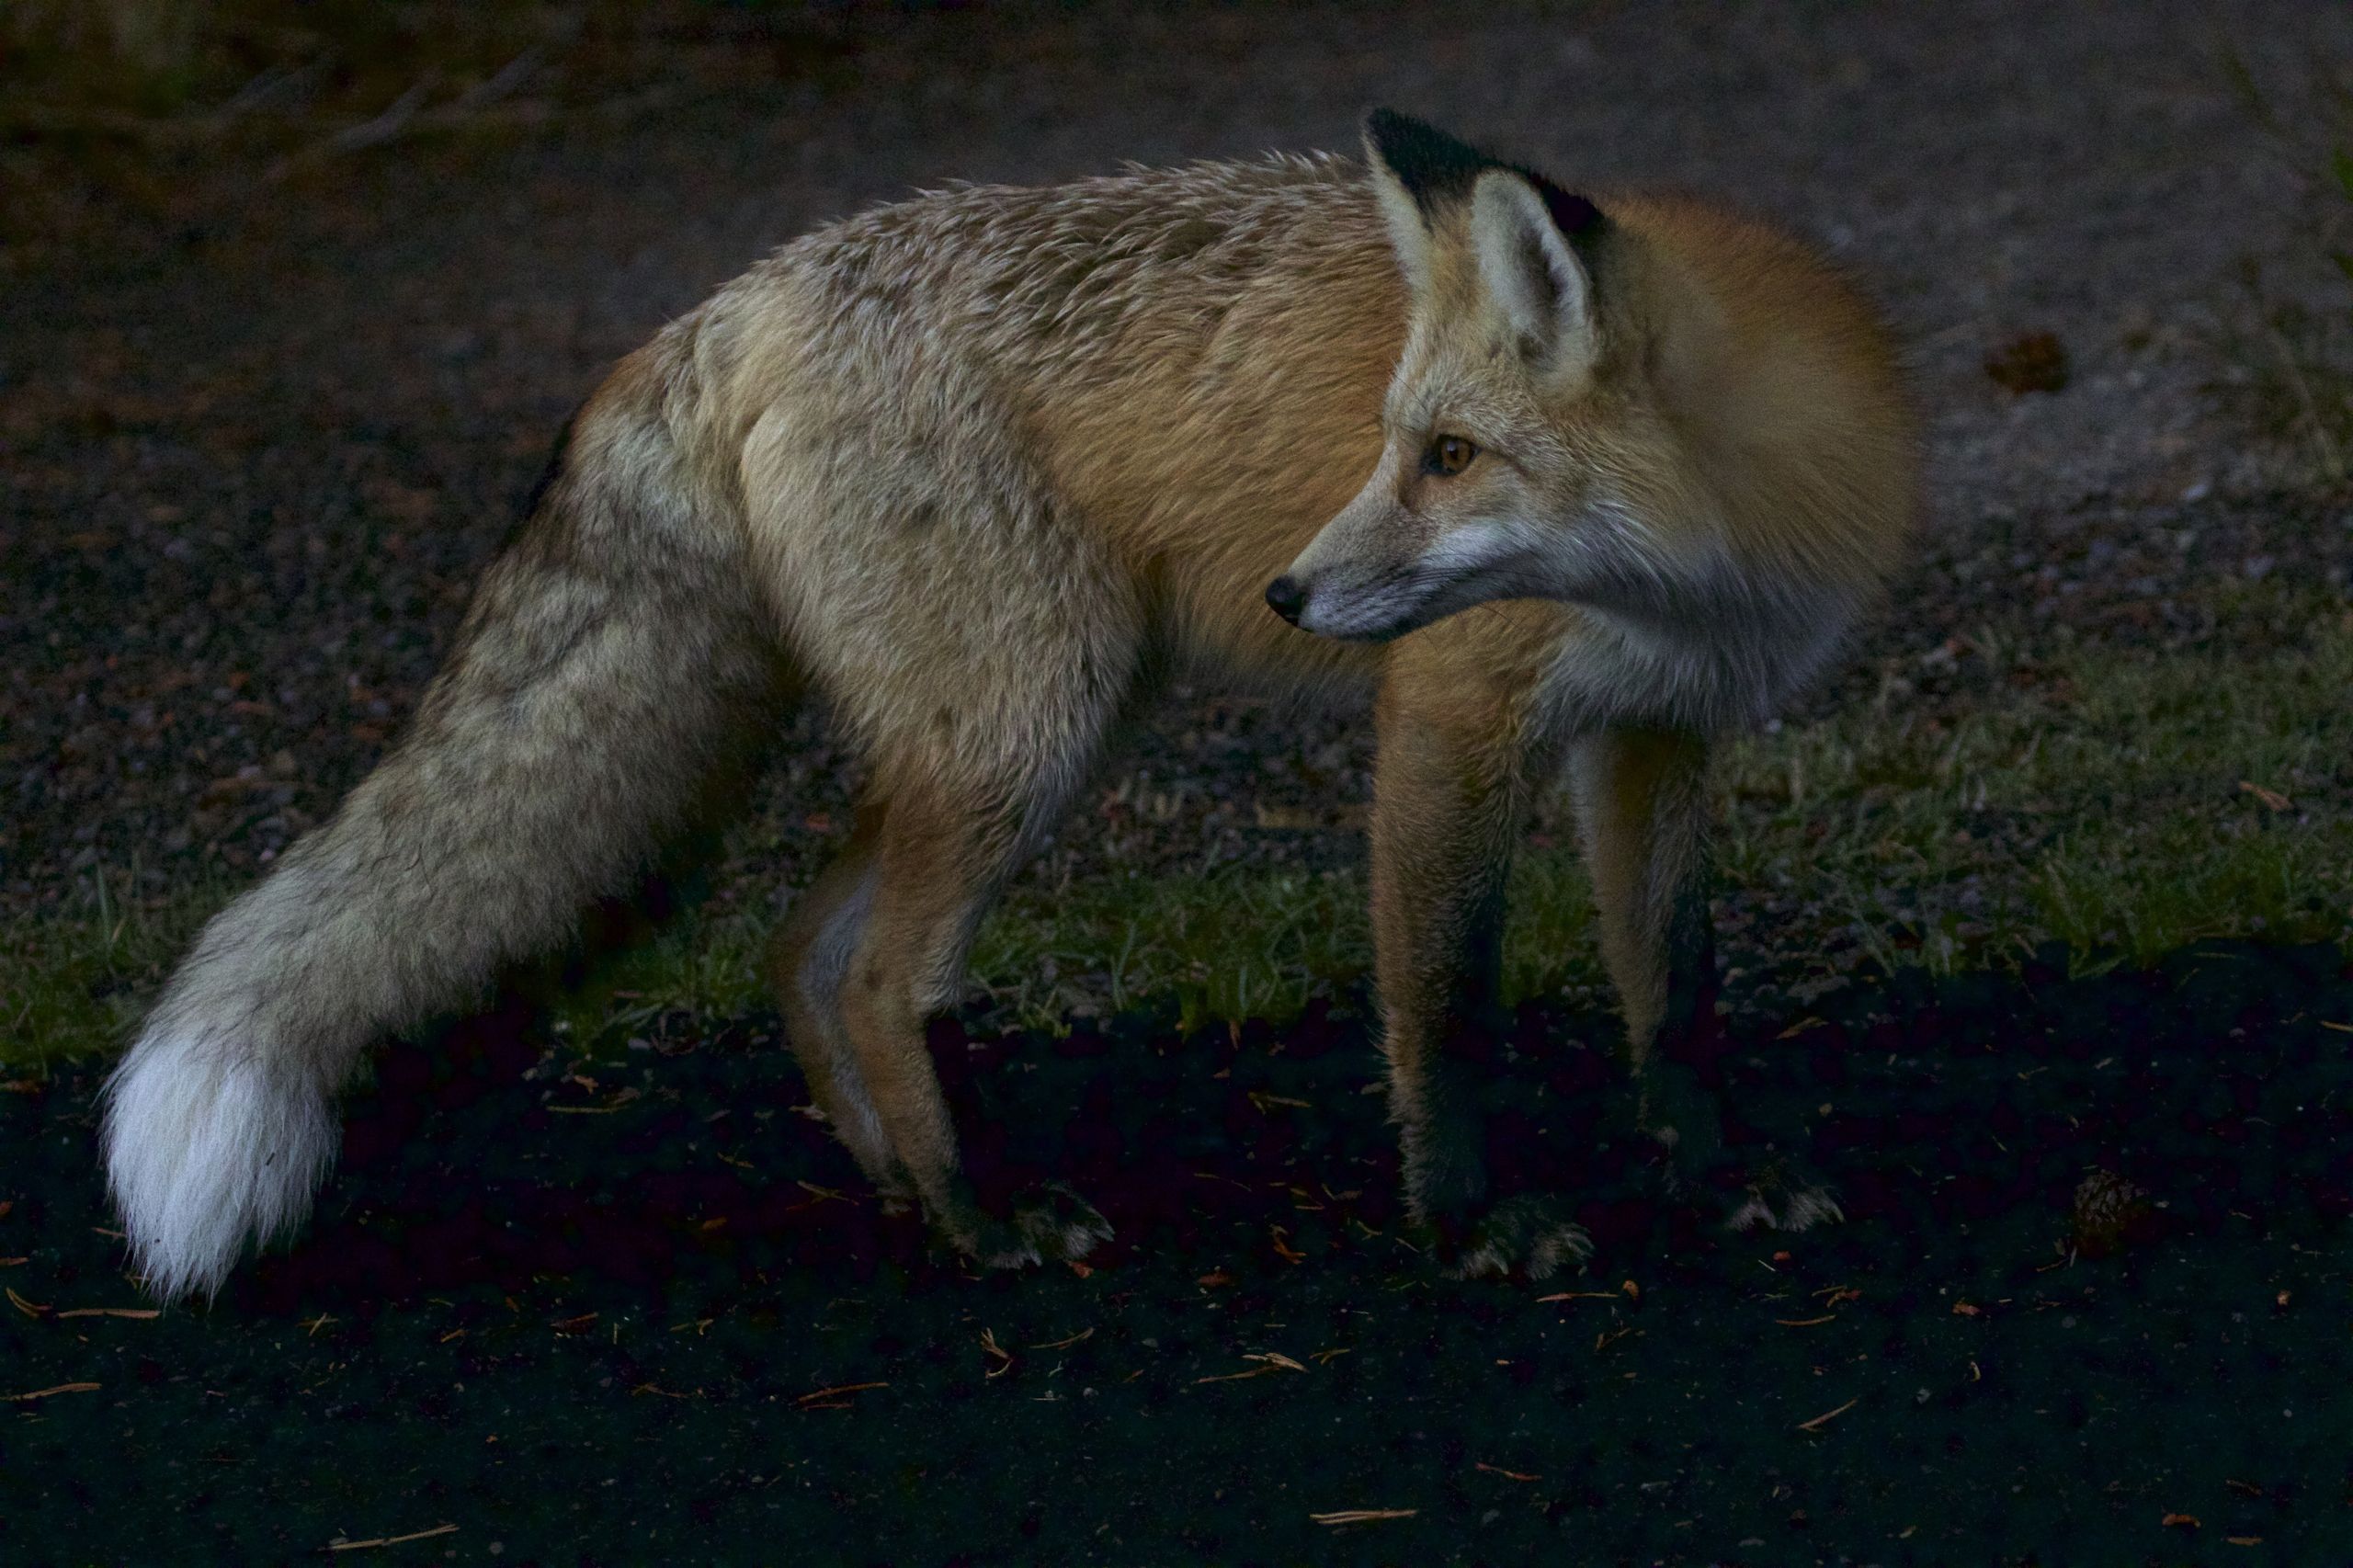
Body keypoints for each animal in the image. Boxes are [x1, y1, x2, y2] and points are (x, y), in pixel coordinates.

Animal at [101, 110, 1914, 1301]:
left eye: (1449, 455)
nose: (1293, 595)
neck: (1703, 567)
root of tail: (735, 296)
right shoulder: (1451, 724)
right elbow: (1446, 1011)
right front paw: (1470, 1223)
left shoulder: (1655, 732)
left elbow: (1674, 992)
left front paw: (1720, 1174)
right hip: (1034, 724)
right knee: (880, 975)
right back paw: (984, 1224)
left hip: (1009, 730)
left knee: (799, 952)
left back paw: (915, 1196)